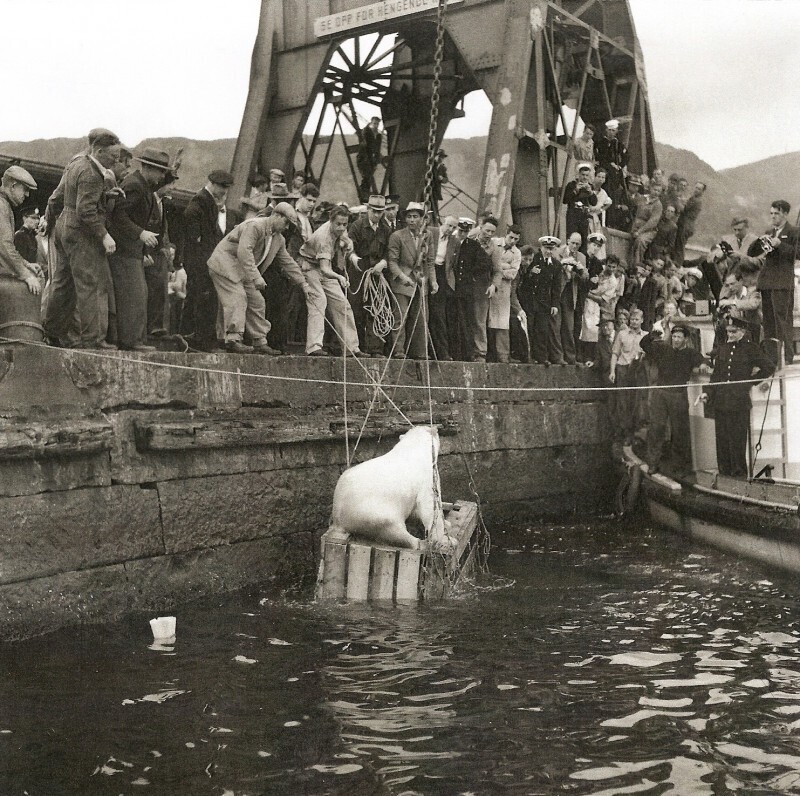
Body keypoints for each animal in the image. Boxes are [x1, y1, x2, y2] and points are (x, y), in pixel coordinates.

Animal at [326, 426, 456, 552]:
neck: (413, 448)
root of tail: (338, 520)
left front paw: (447, 524)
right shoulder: (427, 475)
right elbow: (430, 505)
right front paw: (445, 540)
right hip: (371, 513)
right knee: (393, 529)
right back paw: (422, 544)